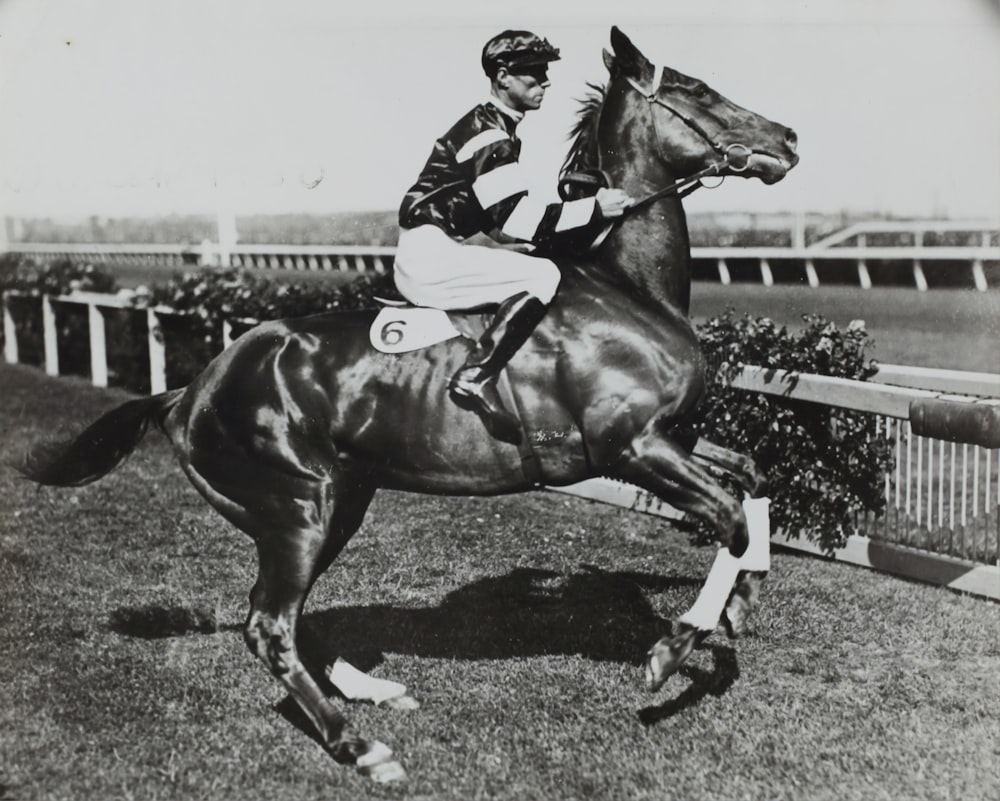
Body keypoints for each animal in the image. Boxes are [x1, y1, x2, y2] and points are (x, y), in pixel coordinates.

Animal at [21, 26, 796, 780]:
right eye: (697, 88)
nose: (788, 137)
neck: (629, 290)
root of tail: (191, 390)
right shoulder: (630, 445)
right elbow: (727, 515)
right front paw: (677, 644)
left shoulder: (671, 435)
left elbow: (753, 479)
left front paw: (745, 597)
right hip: (298, 504)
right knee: (268, 623)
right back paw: (357, 745)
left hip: (334, 501)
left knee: (284, 614)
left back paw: (368, 688)